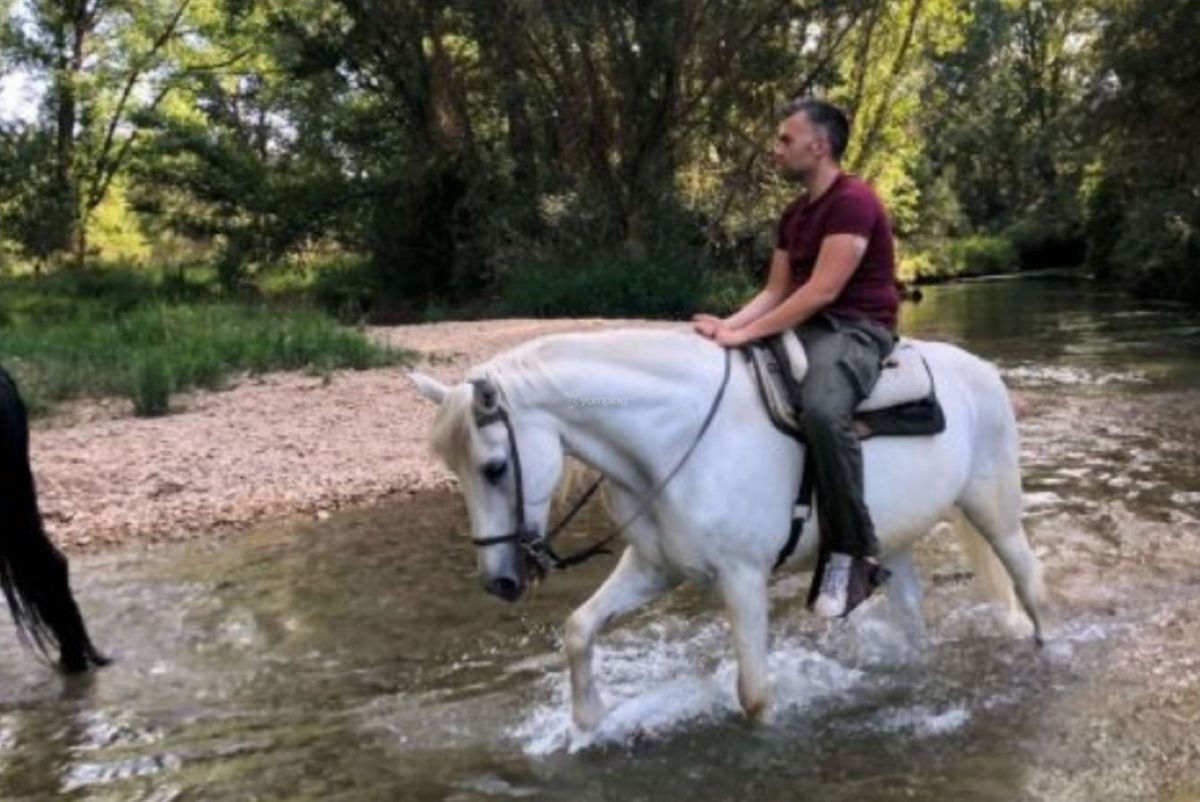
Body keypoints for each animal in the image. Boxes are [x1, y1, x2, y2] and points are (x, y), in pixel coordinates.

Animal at [408, 328, 1047, 730]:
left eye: (494, 468)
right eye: (455, 471)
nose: (499, 583)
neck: (673, 440)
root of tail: (981, 370)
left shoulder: (743, 577)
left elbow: (755, 695)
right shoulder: (654, 567)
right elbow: (579, 628)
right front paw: (590, 722)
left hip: (994, 509)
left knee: (1029, 583)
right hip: (896, 543)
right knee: (914, 621)